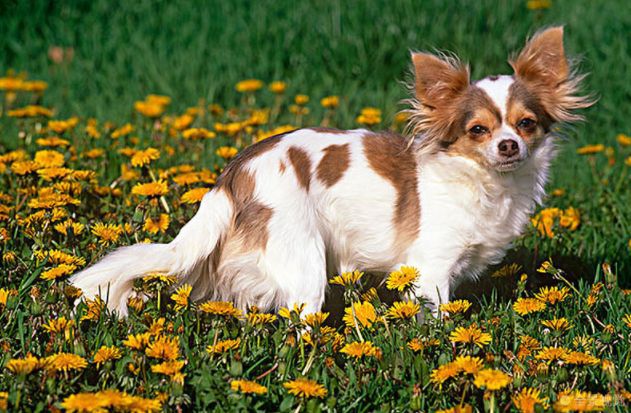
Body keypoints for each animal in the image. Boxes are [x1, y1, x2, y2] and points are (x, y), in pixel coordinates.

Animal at [70, 25, 592, 316]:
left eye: (526, 124)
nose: (508, 146)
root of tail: (234, 176)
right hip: (304, 260)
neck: (487, 183)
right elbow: (437, 318)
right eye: (478, 130)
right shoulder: (431, 270)